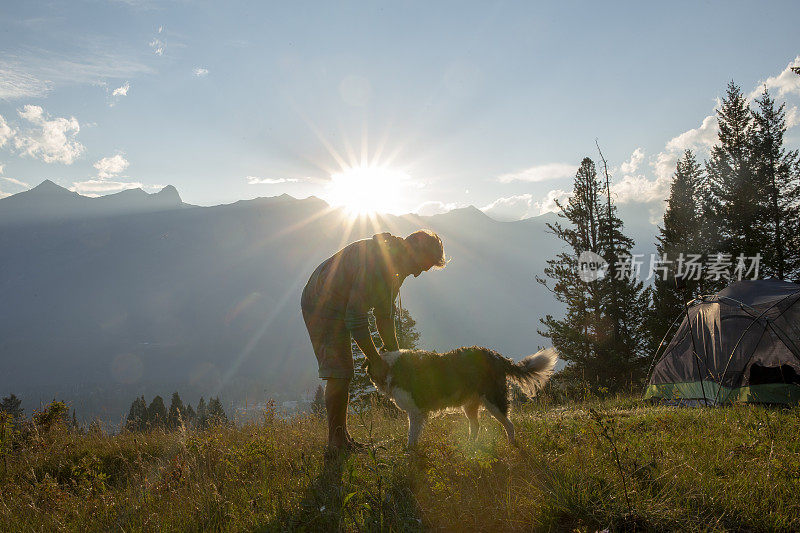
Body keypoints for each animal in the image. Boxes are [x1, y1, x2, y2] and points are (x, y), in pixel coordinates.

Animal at [368, 344, 560, 444]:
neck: (391, 366)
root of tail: (496, 356)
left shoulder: (416, 412)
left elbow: (411, 437)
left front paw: (410, 456)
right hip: (470, 405)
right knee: (476, 426)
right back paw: (470, 447)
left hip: (493, 402)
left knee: (509, 424)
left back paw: (511, 445)